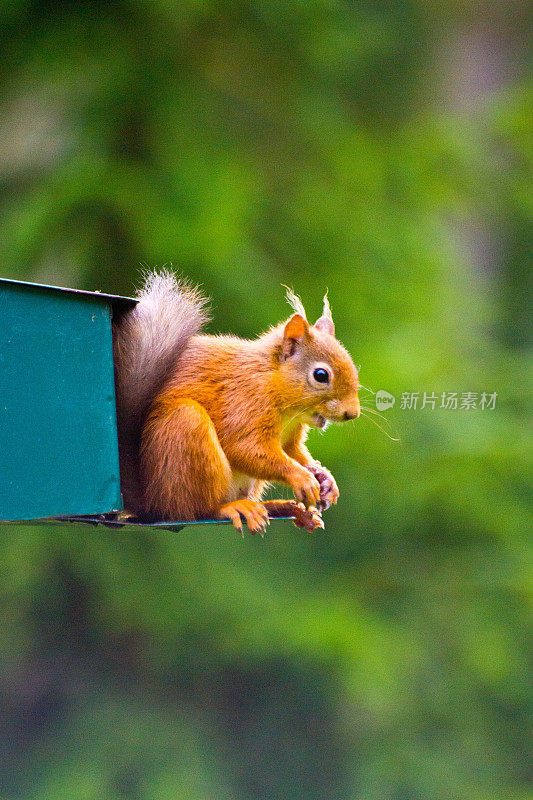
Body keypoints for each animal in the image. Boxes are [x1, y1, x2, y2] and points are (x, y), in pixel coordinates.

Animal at [114, 272, 360, 536]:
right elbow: (245, 449)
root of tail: (151, 503)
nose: (352, 413)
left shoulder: (290, 437)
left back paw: (285, 508)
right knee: (197, 510)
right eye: (321, 375)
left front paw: (324, 477)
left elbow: (293, 452)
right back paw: (232, 508)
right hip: (186, 429)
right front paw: (302, 476)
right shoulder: (246, 401)